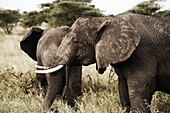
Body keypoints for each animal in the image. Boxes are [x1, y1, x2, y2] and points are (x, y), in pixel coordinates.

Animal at [37, 13, 170, 112]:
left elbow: (139, 92)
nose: (56, 108)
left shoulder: (141, 54)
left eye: (75, 41)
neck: (107, 19)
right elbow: (123, 89)